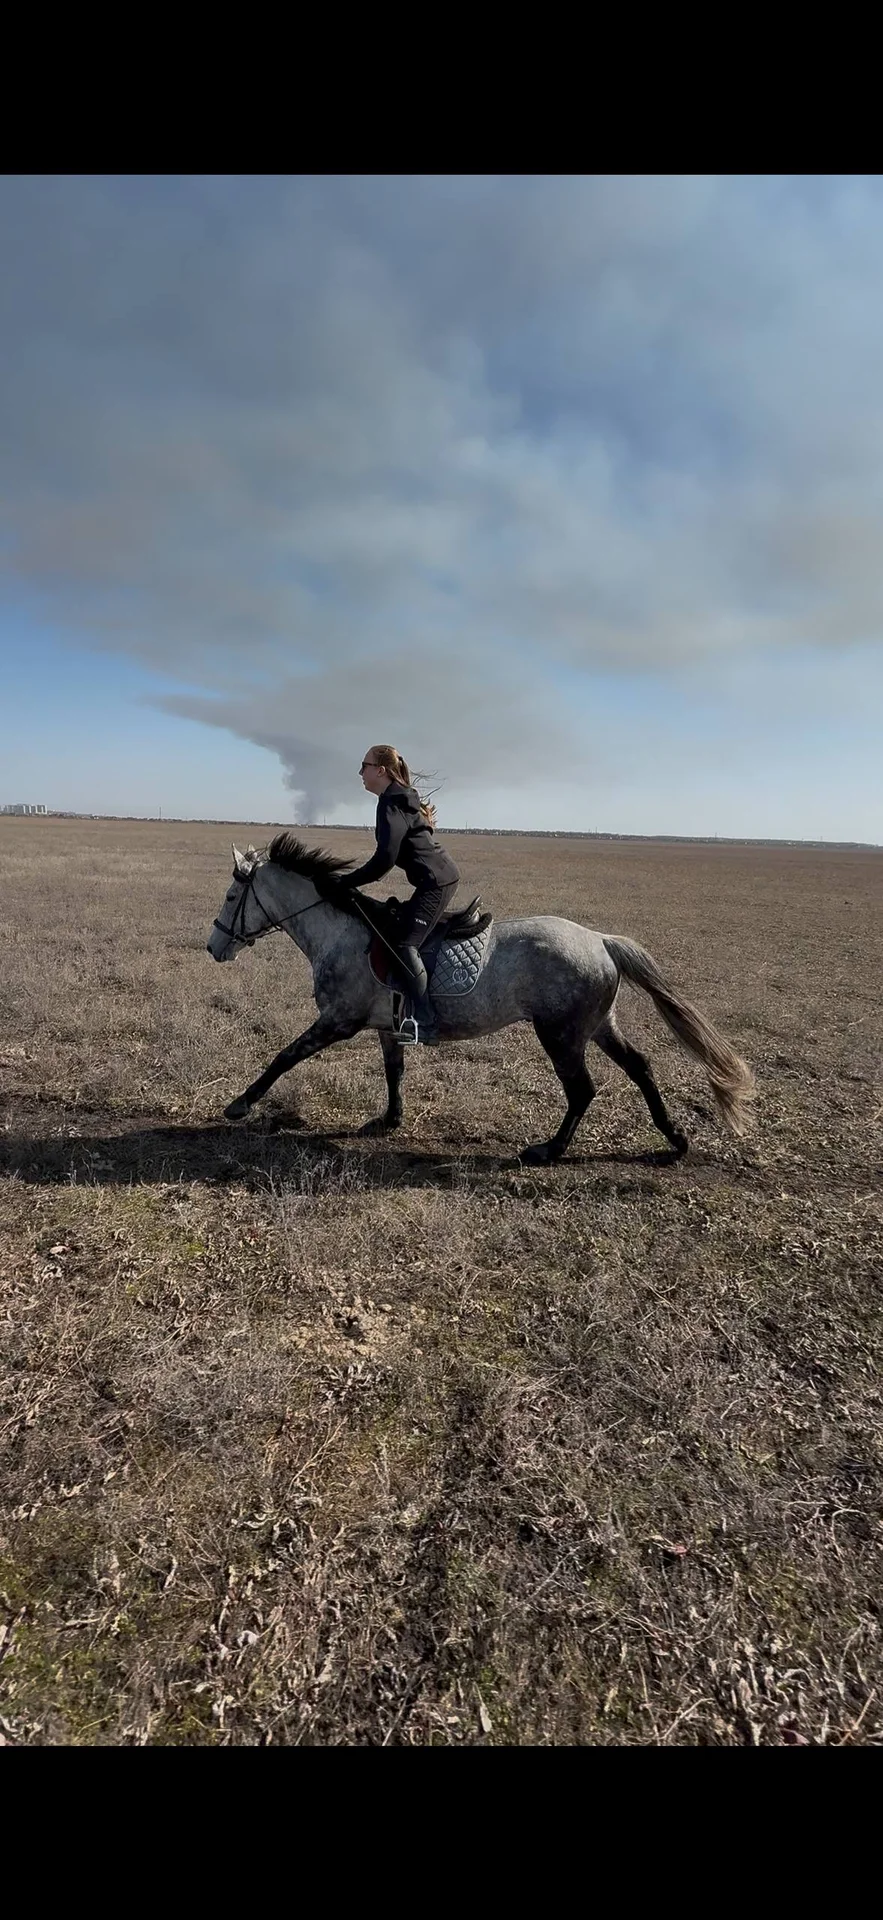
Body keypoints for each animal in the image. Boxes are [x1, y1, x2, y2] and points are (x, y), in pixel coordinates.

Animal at [206, 834, 755, 1163]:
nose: (214, 948)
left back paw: (549, 1151)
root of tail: (600, 939)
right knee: (640, 1067)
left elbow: (284, 1056)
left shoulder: (338, 1021)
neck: (340, 932)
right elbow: (394, 1072)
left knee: (582, 1089)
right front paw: (389, 1121)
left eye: (232, 897)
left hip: (560, 1034)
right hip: (597, 1025)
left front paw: (239, 1104)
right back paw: (675, 1139)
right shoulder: (387, 1026)